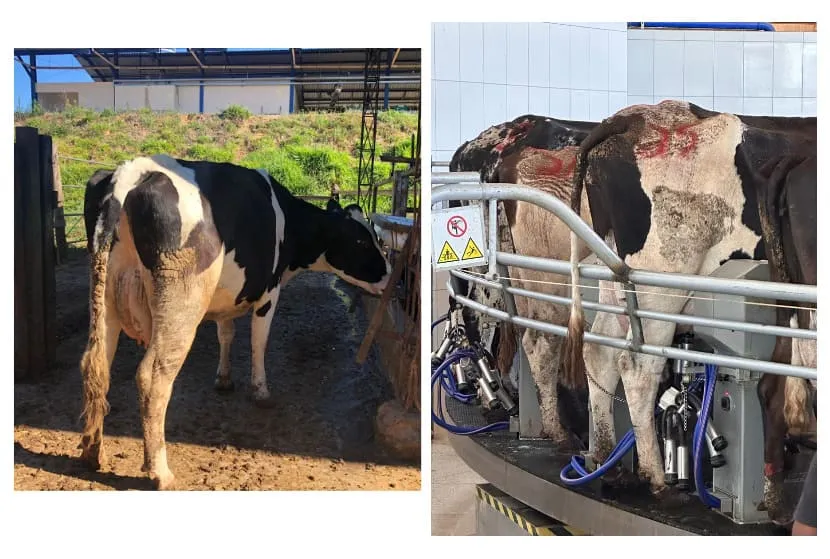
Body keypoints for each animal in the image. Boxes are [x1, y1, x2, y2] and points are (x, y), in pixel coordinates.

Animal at [79, 155, 391, 489]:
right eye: (361, 241)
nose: (390, 276)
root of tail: (133, 171)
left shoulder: (227, 296)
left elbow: (225, 333)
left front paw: (224, 379)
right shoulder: (269, 292)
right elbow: (258, 341)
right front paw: (261, 392)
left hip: (104, 297)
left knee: (96, 366)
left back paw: (92, 452)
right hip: (180, 305)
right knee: (153, 377)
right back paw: (160, 472)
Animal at [561, 101, 816, 522]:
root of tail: (634, 118)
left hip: (616, 274)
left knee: (600, 353)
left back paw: (606, 463)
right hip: (661, 283)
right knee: (638, 366)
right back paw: (656, 480)